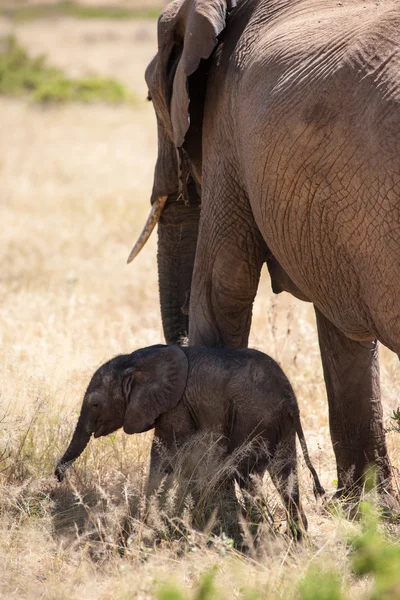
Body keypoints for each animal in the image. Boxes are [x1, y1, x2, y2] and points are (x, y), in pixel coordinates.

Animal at [54, 344, 324, 536]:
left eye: (95, 404)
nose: (58, 476)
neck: (135, 361)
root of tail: (290, 399)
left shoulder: (176, 407)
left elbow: (166, 458)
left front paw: (151, 522)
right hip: (281, 425)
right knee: (285, 474)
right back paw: (296, 536)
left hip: (254, 418)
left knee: (248, 474)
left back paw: (259, 530)